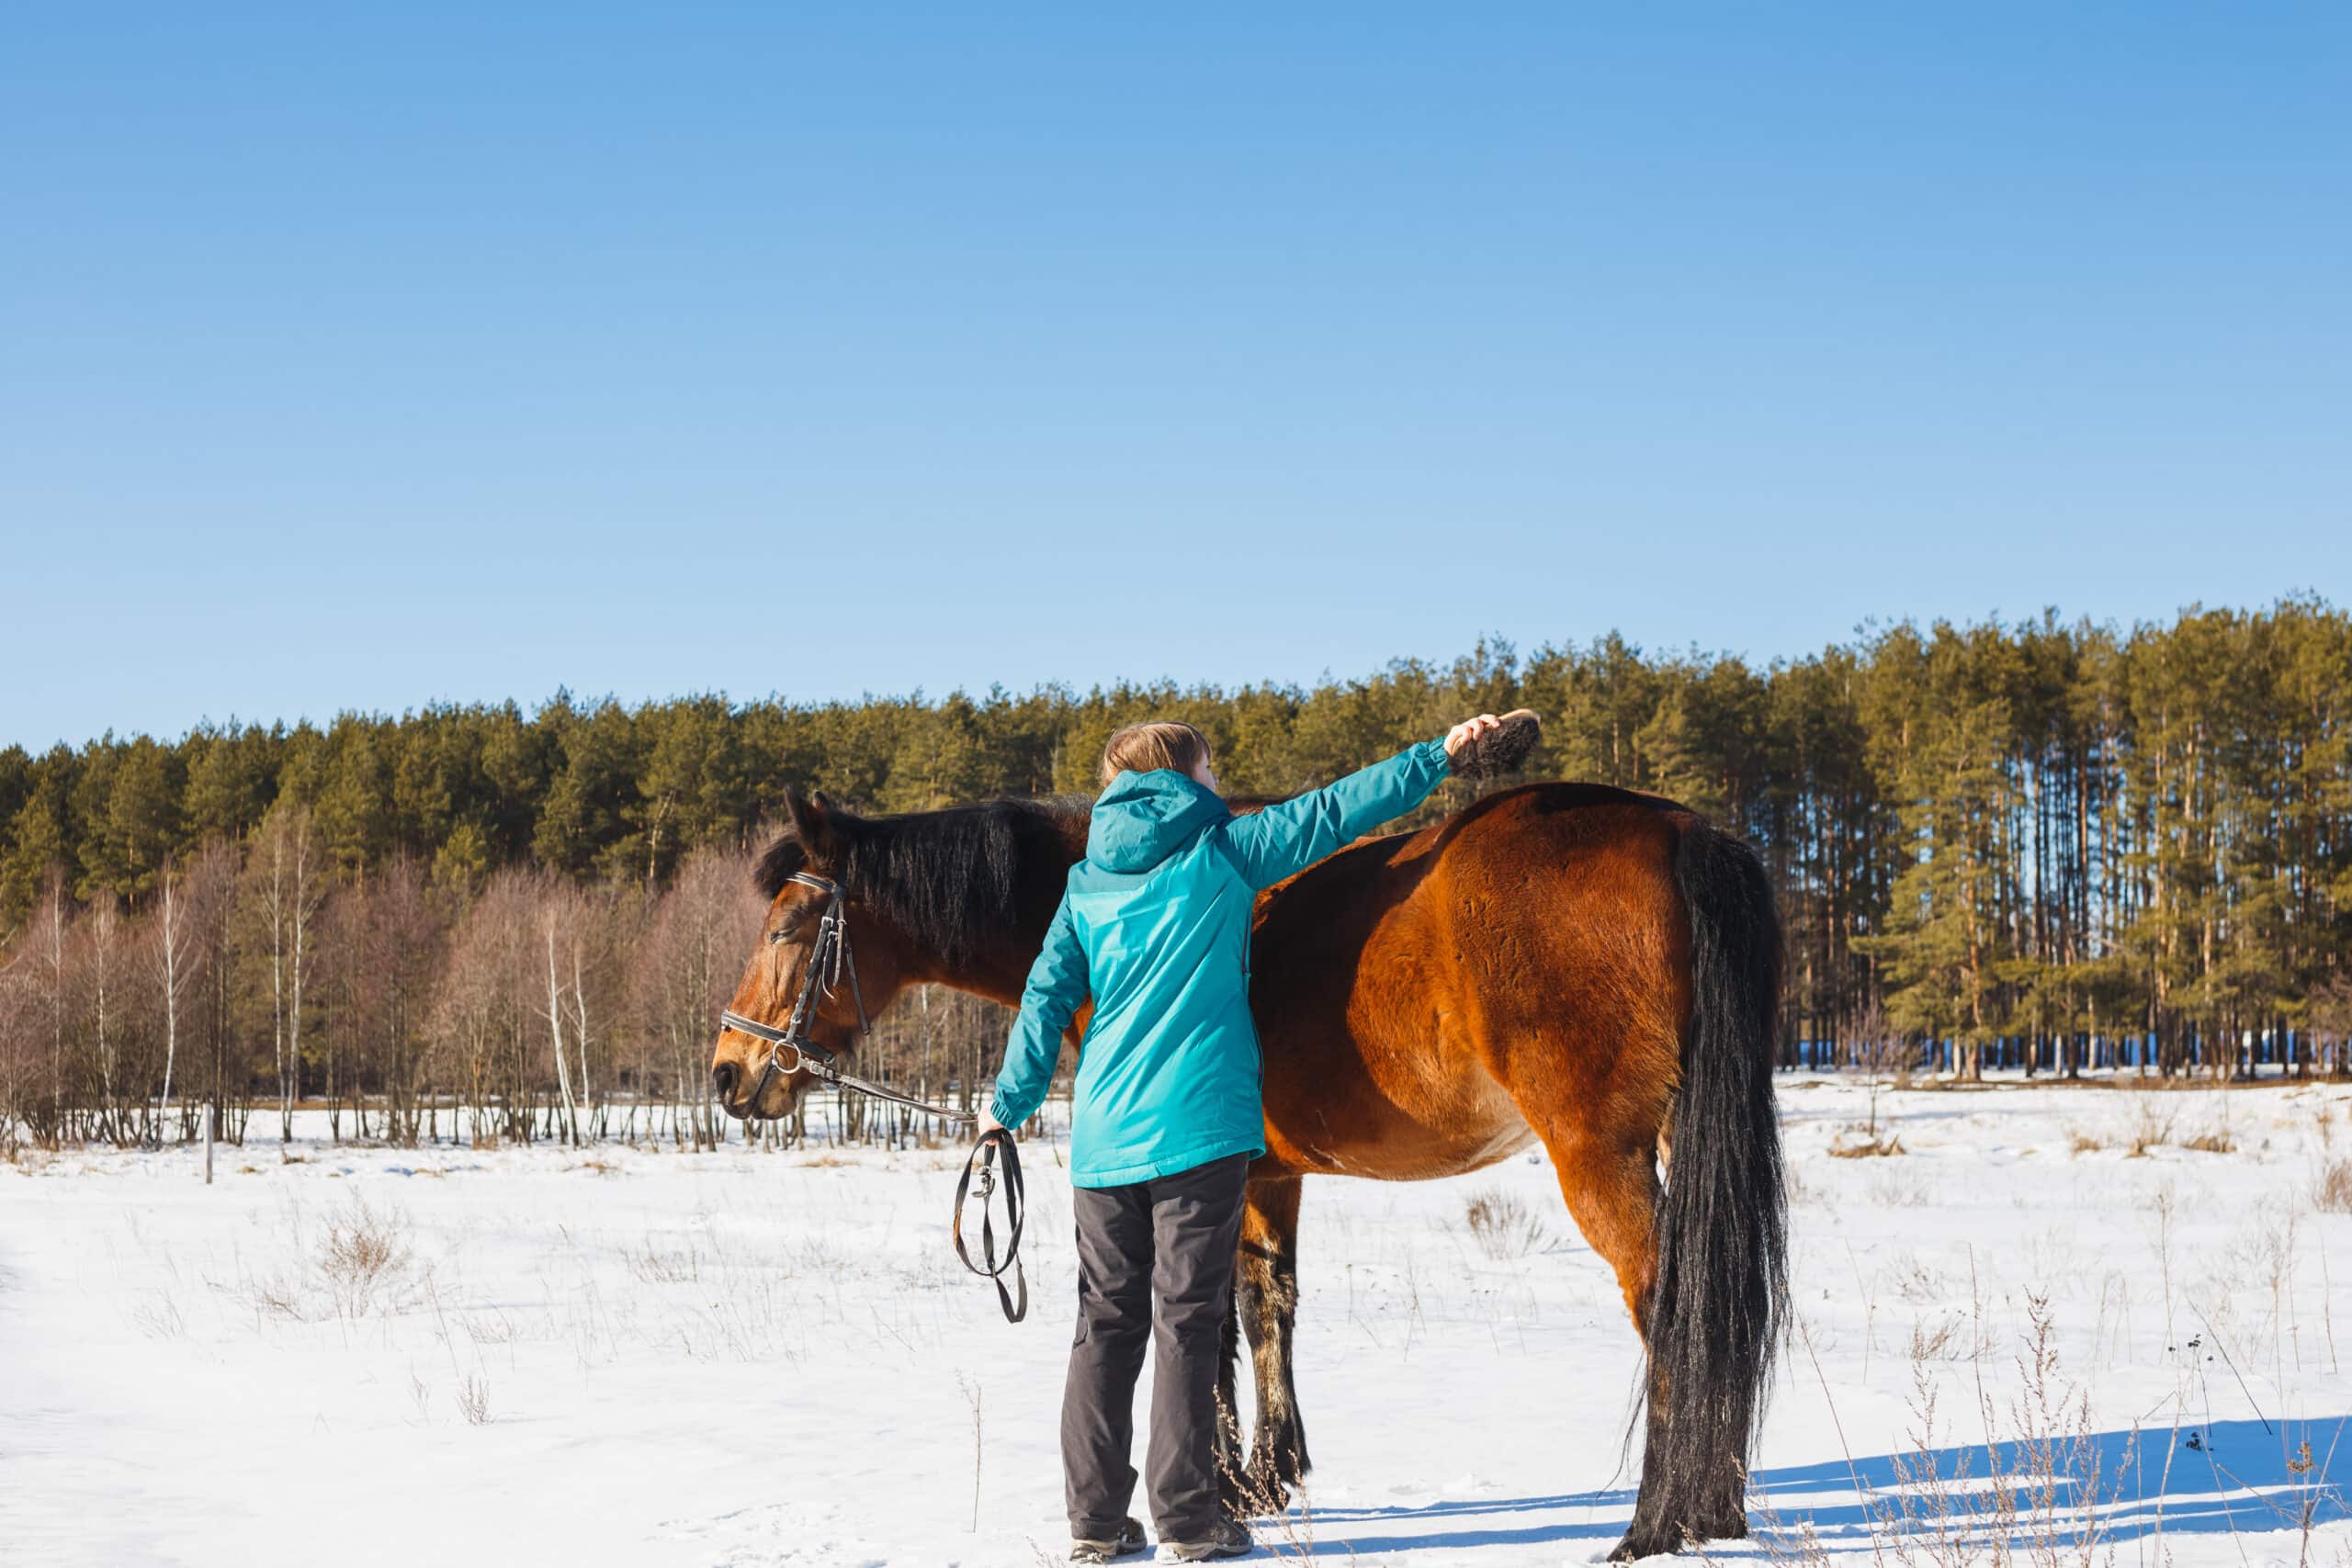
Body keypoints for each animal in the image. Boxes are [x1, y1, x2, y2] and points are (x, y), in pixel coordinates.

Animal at [708, 767, 1787, 1560]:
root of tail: (1674, 829)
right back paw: (1715, 1509)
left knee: (1669, 1300)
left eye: (791, 926)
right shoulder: (1269, 1174)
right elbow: (1268, 1307)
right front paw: (1269, 1473)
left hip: (1597, 1154)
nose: (729, 1073)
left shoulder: (1211, 1173)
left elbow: (1211, 1317)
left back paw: (1659, 1522)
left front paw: (1221, 1485)